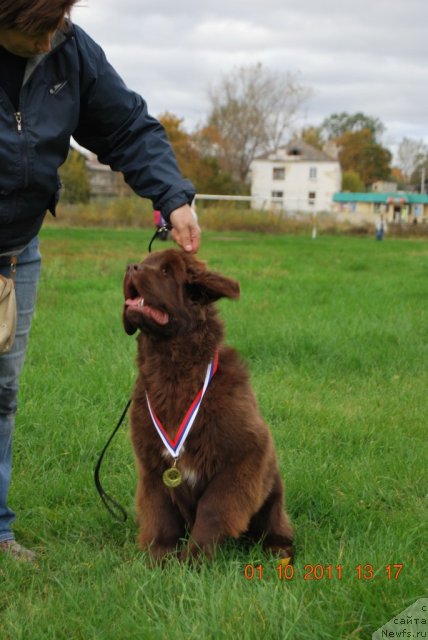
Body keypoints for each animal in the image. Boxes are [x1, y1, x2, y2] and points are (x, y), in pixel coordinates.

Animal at [122, 252, 292, 564]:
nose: (130, 267)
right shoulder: (151, 462)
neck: (173, 374)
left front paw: (194, 559)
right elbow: (160, 510)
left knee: (275, 522)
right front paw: (160, 556)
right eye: (144, 261)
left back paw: (279, 549)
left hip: (273, 492)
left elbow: (213, 508)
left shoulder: (246, 453)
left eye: (166, 271)